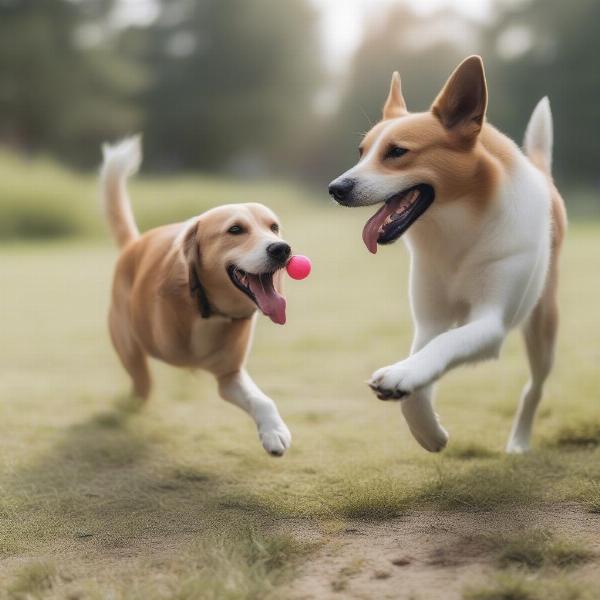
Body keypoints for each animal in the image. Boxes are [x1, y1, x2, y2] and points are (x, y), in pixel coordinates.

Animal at [101, 136, 292, 454]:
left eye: (274, 227)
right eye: (235, 229)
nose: (282, 249)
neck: (209, 310)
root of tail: (134, 244)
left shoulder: (229, 377)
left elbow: (262, 400)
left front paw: (274, 431)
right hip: (132, 346)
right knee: (142, 384)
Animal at [328, 57, 568, 454]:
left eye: (397, 152)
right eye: (361, 153)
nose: (335, 188)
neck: (458, 228)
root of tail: (542, 173)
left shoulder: (490, 323)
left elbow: (445, 344)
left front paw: (402, 376)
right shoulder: (429, 321)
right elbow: (421, 375)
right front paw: (429, 433)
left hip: (543, 328)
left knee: (534, 387)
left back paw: (519, 441)